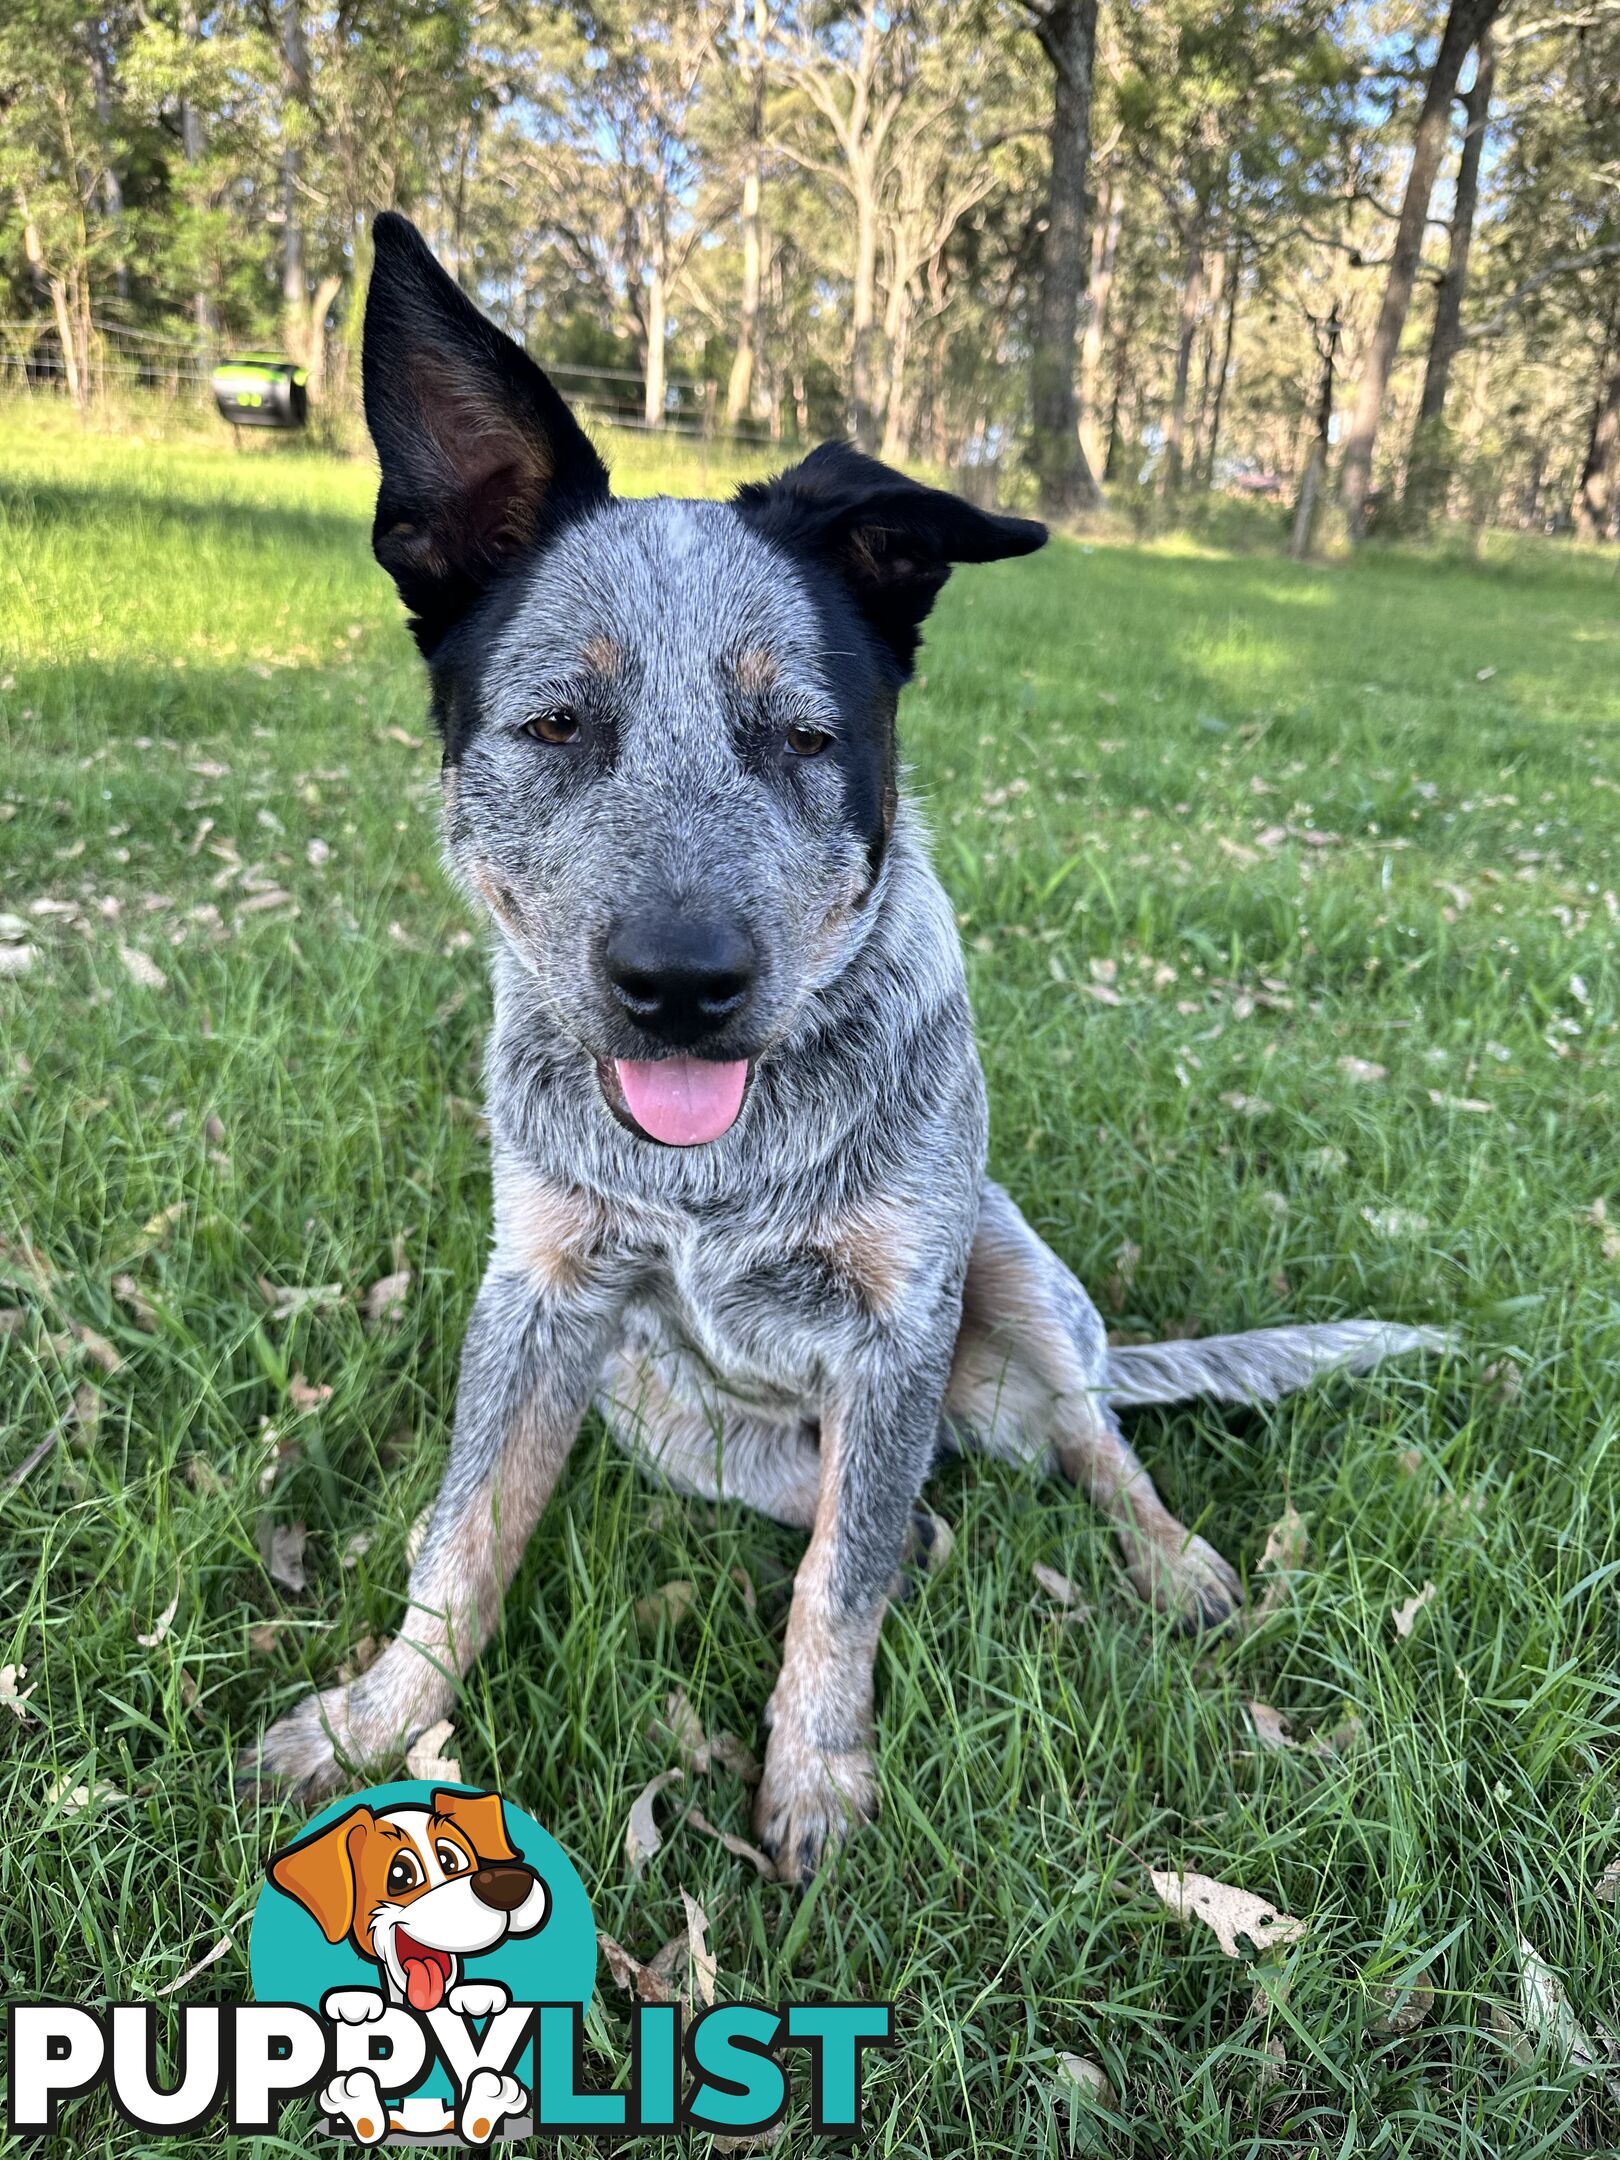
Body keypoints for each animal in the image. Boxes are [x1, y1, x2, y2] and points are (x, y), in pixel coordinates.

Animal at [244, 210, 1442, 1883]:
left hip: (1007, 1275)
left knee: (1085, 1438)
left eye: (805, 736)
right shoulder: (539, 1297)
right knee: (886, 1500)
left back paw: (1168, 1557)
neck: (715, 1170)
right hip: (664, 1415)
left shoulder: (894, 1325)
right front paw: (376, 1722)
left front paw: (816, 1779)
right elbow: (464, 1534)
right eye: (557, 725)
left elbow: (841, 1584)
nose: (682, 983)